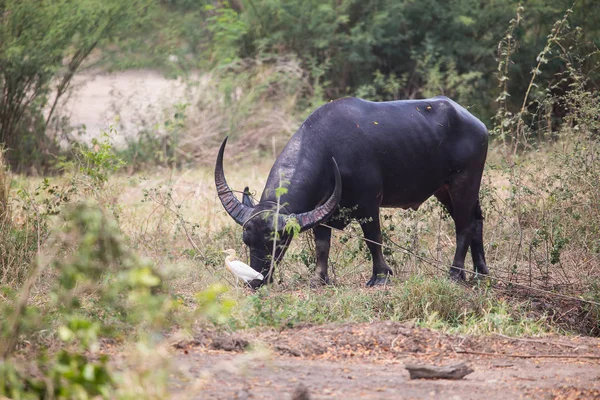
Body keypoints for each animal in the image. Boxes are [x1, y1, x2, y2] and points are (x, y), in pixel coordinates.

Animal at [216, 97, 488, 288]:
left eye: (277, 242)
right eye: (247, 241)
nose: (255, 281)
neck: (329, 150)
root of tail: (479, 126)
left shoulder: (369, 204)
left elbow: (373, 238)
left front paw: (380, 277)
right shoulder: (321, 211)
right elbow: (322, 246)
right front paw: (319, 279)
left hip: (464, 183)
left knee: (464, 225)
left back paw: (455, 273)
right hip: (444, 190)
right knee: (476, 220)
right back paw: (481, 272)